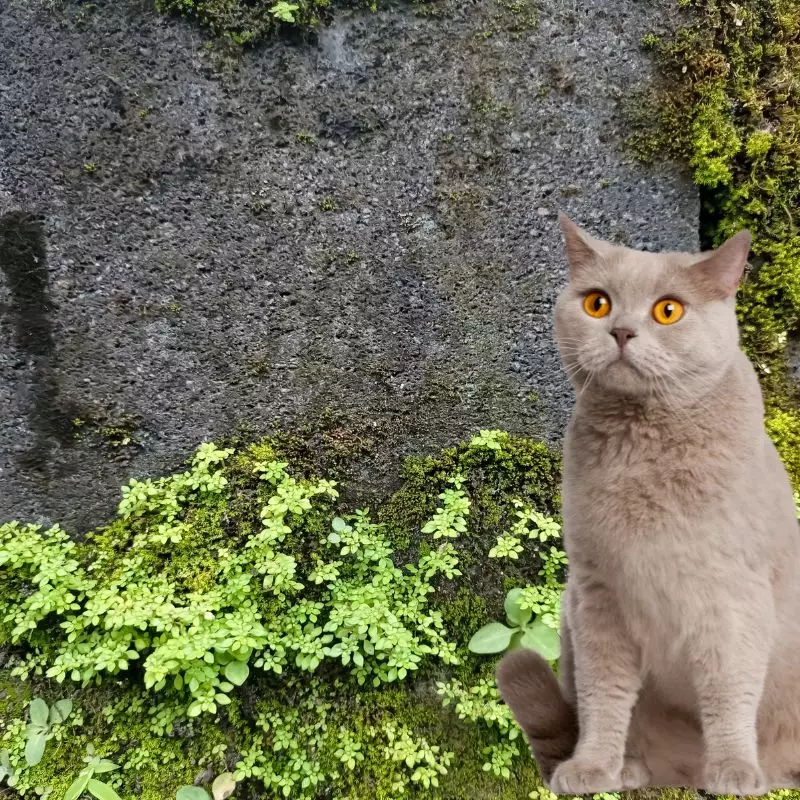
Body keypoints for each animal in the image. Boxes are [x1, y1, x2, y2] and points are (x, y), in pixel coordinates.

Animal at [496, 216, 800, 796]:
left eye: (668, 310)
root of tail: (680, 770)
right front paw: (593, 768)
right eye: (597, 303)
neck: (644, 448)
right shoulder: (597, 593)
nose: (620, 331)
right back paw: (629, 770)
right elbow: (603, 695)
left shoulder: (733, 594)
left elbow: (729, 688)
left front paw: (733, 771)